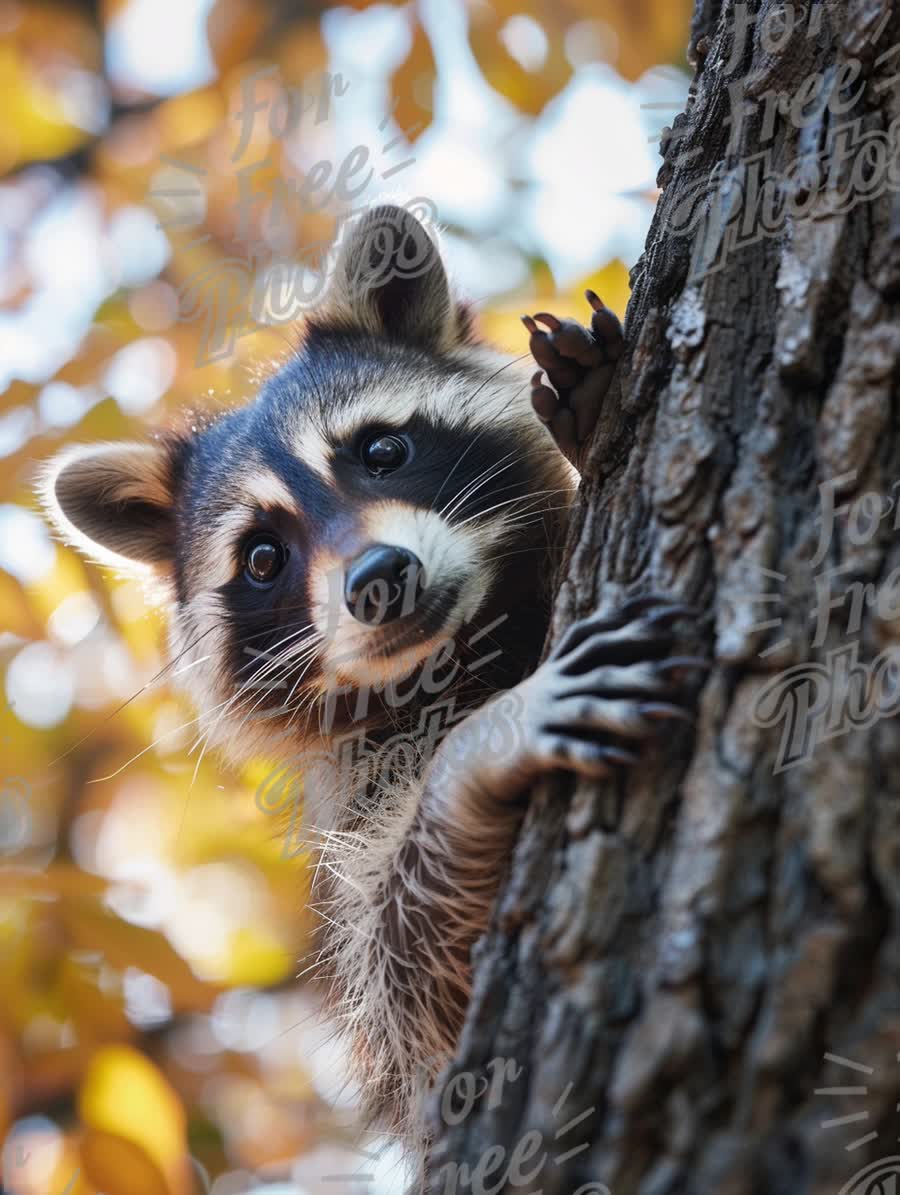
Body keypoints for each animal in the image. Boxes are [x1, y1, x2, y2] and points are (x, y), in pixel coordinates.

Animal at [40, 207, 693, 1156]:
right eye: (263, 557)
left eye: (383, 449)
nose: (380, 577)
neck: (470, 647)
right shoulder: (363, 791)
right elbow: (416, 980)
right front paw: (481, 748)